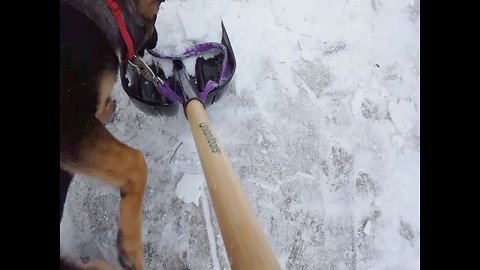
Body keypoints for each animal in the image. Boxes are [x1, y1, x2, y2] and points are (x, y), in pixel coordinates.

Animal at [60, 0, 163, 270]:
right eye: (156, 16)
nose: (156, 41)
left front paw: (104, 109)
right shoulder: (71, 132)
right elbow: (136, 162)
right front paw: (131, 247)